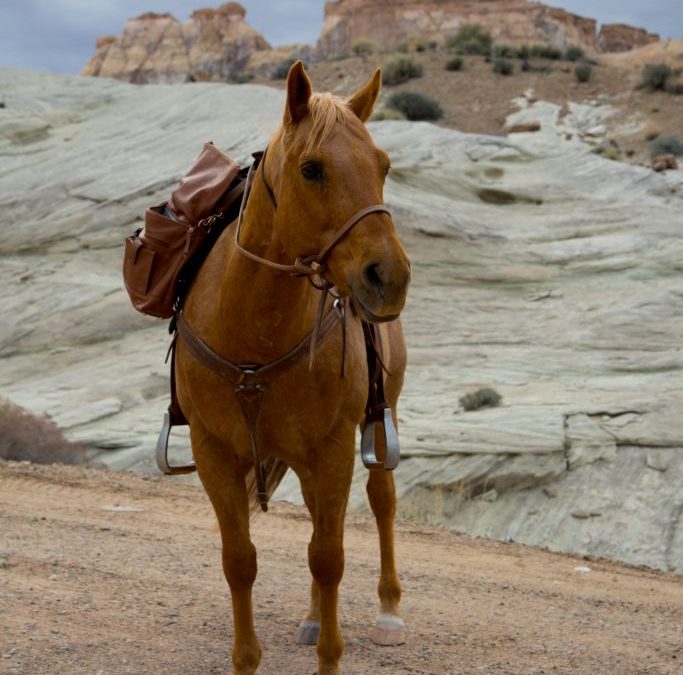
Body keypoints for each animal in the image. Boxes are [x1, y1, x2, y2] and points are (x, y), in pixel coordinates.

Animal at [176, 60, 412, 672]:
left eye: (384, 165)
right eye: (312, 169)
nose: (390, 276)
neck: (254, 330)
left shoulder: (332, 448)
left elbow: (328, 558)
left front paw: (331, 653)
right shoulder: (214, 452)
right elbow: (240, 560)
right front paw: (247, 658)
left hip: (381, 416)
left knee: (381, 502)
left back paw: (388, 612)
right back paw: (309, 616)